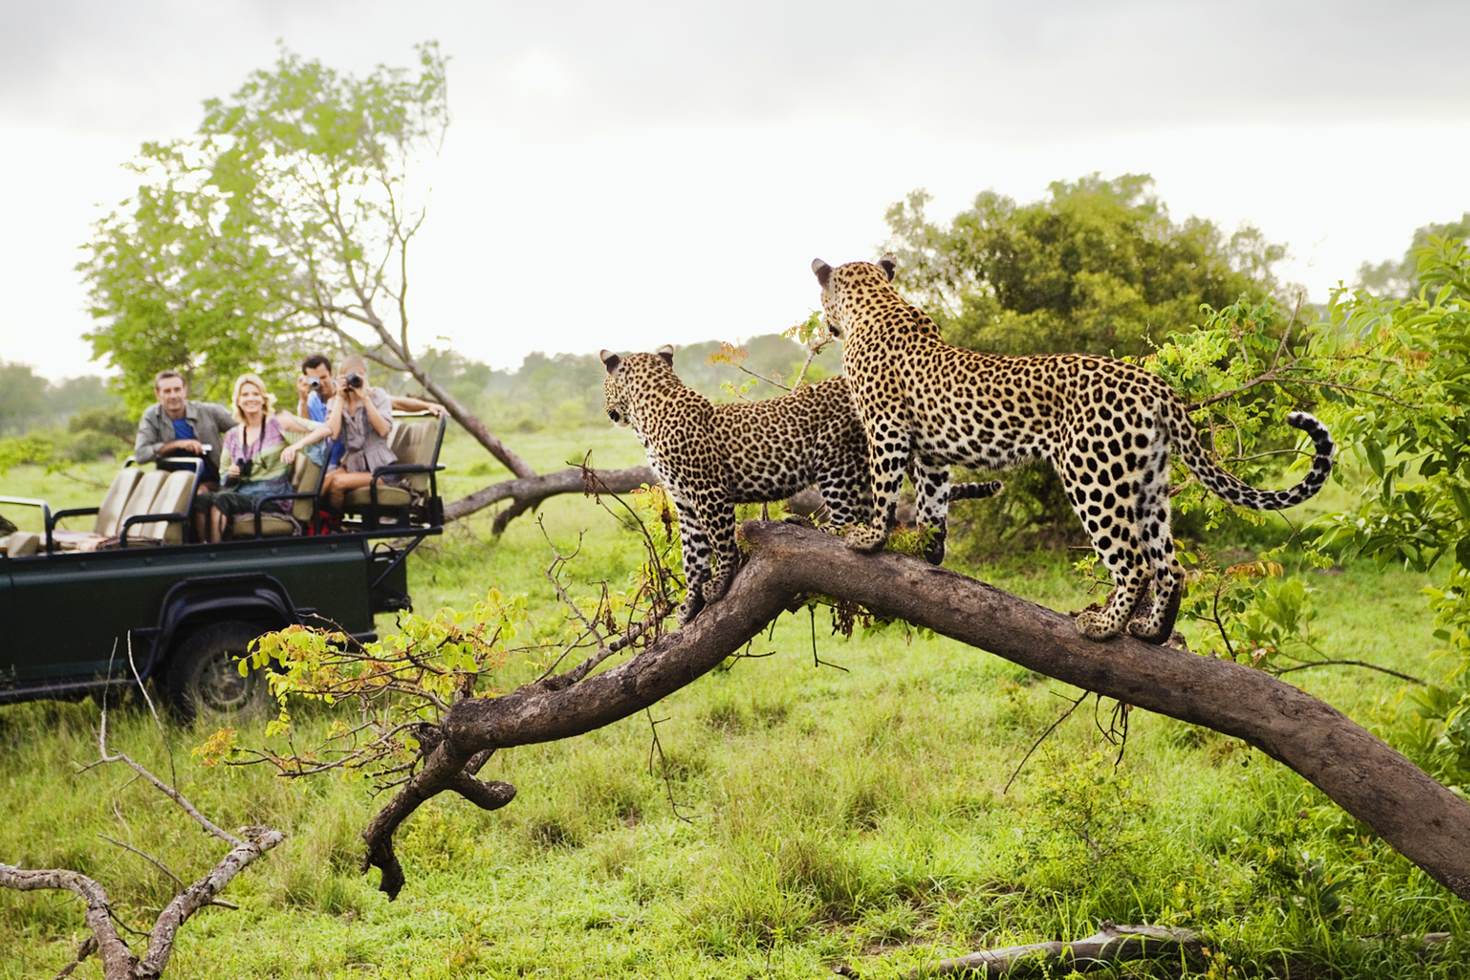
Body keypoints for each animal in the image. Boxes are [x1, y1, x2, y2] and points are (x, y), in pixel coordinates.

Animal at [596, 345, 999, 620]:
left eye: (603, 385)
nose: (607, 411)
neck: (649, 414)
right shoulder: (684, 501)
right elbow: (692, 554)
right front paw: (690, 602)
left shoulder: (709, 493)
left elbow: (721, 543)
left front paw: (720, 582)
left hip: (835, 458)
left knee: (849, 519)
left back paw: (811, 526)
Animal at [811, 257, 1340, 646]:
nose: (825, 325)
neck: (877, 302)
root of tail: (1155, 385)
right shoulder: (932, 452)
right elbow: (933, 502)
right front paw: (929, 550)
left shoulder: (886, 429)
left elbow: (885, 488)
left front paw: (869, 538)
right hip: (1148, 483)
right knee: (1170, 566)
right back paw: (1151, 631)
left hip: (1093, 476)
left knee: (1134, 563)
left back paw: (1104, 627)